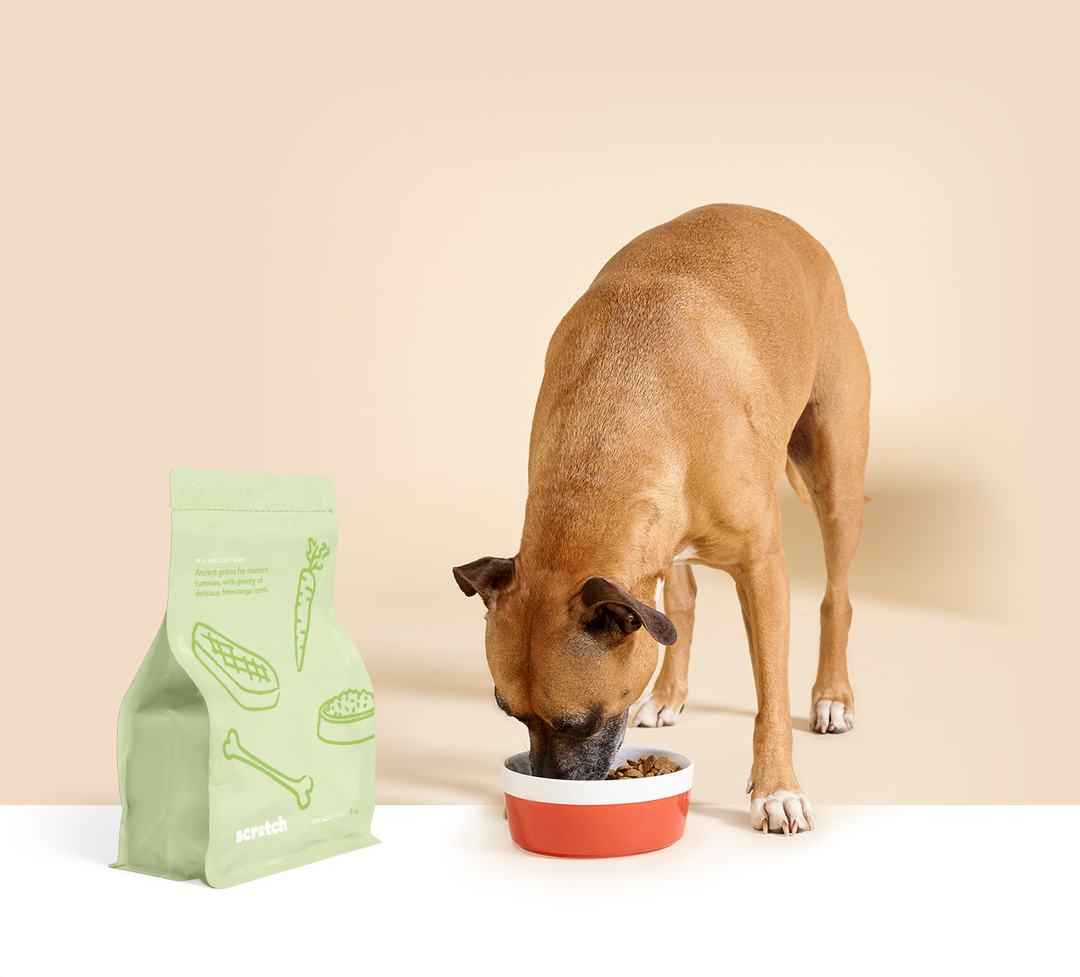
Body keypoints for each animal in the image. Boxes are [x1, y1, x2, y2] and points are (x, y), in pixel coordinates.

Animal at [455, 204, 868, 829]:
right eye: (509, 712)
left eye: (581, 722)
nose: (549, 789)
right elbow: (677, 614)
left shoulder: (763, 569)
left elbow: (771, 695)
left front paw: (777, 789)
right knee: (682, 604)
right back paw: (670, 693)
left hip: (836, 480)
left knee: (836, 596)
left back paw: (832, 697)